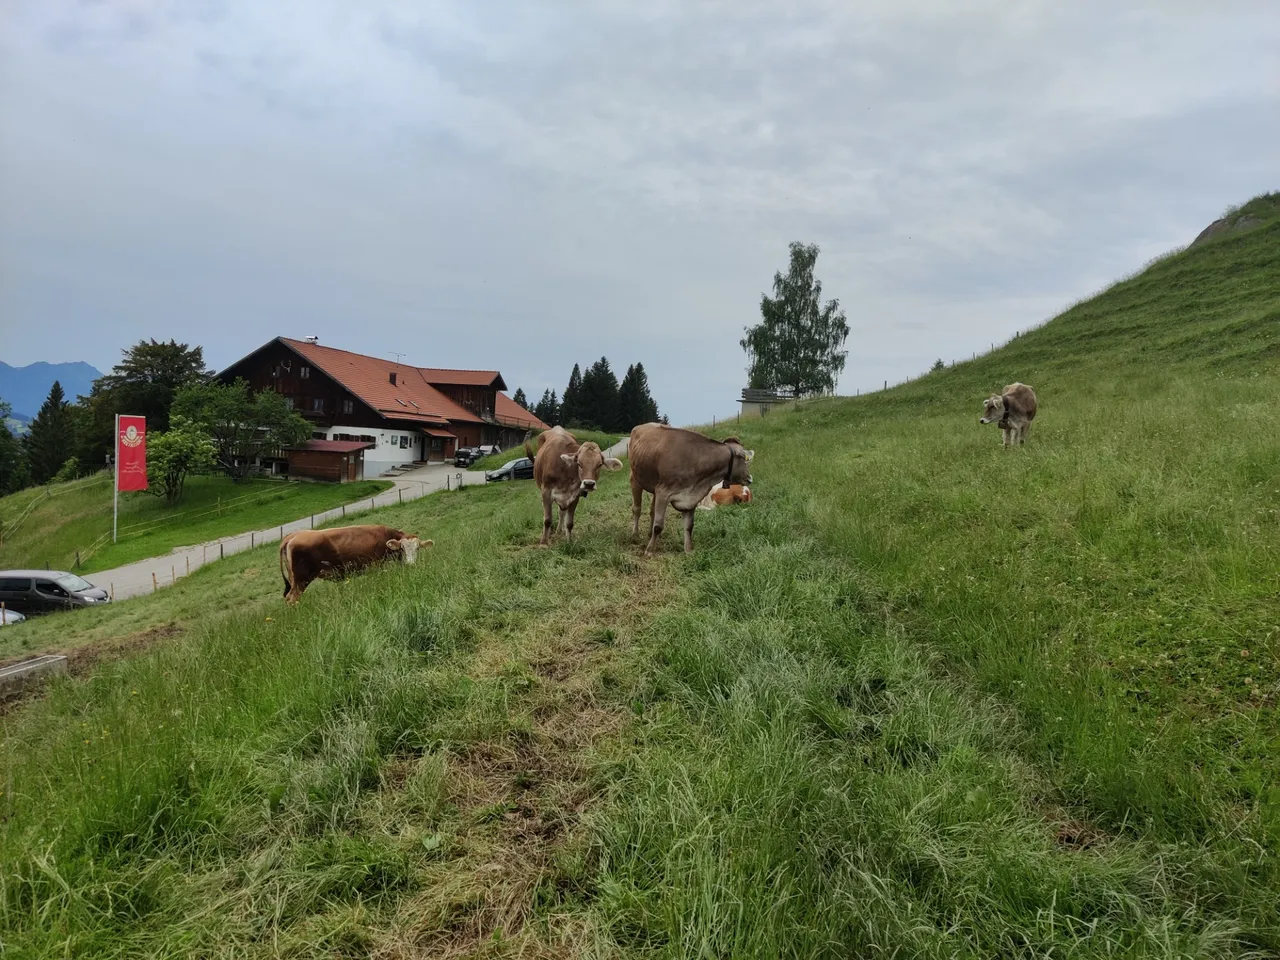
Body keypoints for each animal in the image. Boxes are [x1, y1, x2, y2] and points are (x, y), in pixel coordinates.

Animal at [279, 522, 430, 604]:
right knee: (292, 598)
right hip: (301, 579)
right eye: (402, 548)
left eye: (417, 548)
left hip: (294, 579)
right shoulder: (378, 566)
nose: (411, 564)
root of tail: (292, 536)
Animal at [627, 427, 752, 555]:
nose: (749, 478)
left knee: (652, 511)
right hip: (635, 479)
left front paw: (688, 550)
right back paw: (635, 535)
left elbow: (689, 526)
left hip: (654, 487)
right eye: (744, 459)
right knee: (637, 509)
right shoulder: (663, 492)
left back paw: (649, 534)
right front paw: (650, 551)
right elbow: (658, 526)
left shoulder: (691, 497)